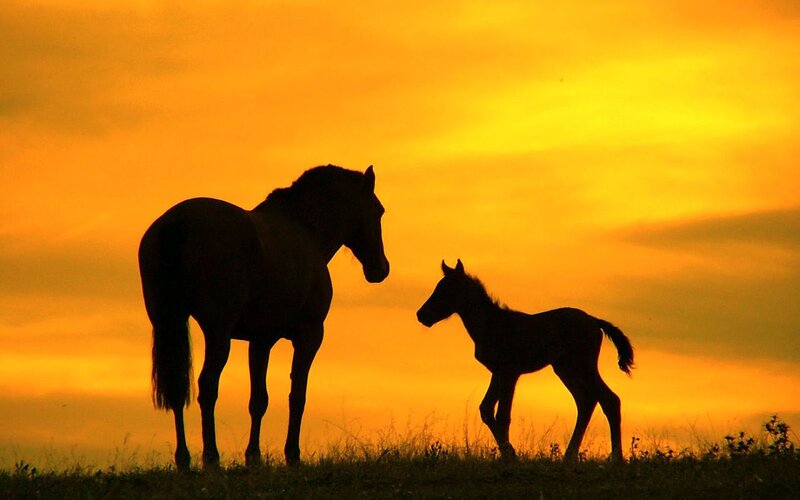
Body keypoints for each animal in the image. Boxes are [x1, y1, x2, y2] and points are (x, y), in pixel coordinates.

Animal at [138, 165, 389, 470]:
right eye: (378, 211)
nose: (381, 269)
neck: (306, 231)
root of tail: (176, 224)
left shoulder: (261, 340)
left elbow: (258, 399)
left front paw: (253, 456)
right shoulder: (309, 335)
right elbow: (297, 395)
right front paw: (292, 454)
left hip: (168, 322)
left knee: (177, 387)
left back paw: (184, 460)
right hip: (217, 331)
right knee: (207, 386)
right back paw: (211, 458)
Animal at [416, 260, 633, 461]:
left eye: (446, 290)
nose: (421, 315)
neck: (492, 325)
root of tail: (595, 321)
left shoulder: (510, 372)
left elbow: (502, 415)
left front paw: (510, 456)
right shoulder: (497, 372)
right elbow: (486, 409)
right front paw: (509, 453)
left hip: (584, 366)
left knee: (610, 400)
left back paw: (616, 458)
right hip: (565, 369)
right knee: (586, 401)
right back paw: (569, 456)